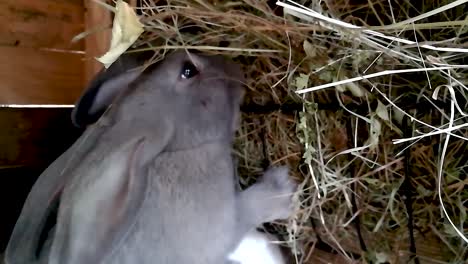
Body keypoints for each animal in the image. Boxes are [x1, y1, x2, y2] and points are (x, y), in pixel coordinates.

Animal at [3, 50, 296, 264]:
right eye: (188, 71)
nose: (234, 66)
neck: (175, 150)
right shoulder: (223, 226)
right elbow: (250, 208)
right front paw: (283, 188)